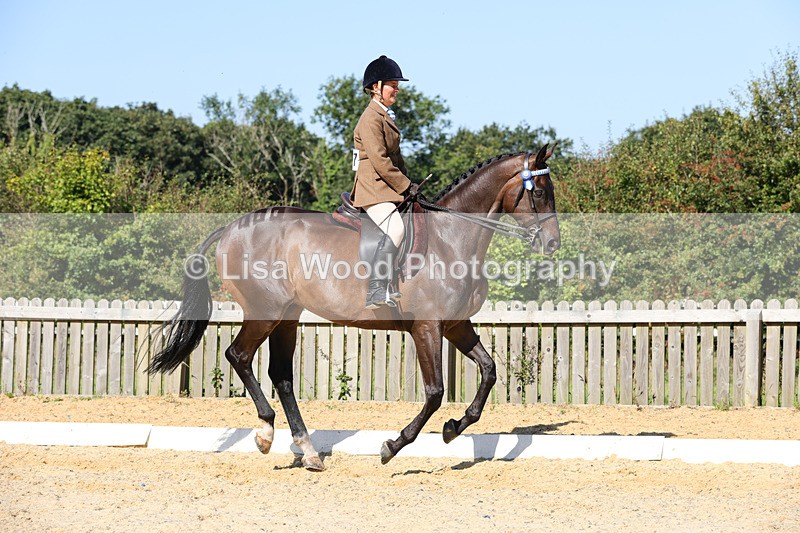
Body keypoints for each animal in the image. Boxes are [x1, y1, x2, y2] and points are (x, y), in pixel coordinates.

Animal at [148, 143, 560, 470]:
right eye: (540, 192)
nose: (553, 243)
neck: (452, 239)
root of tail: (232, 228)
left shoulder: (456, 325)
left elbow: (488, 372)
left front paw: (453, 429)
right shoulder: (427, 327)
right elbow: (435, 392)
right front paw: (393, 446)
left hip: (288, 317)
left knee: (281, 375)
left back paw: (308, 451)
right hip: (265, 311)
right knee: (239, 356)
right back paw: (266, 432)